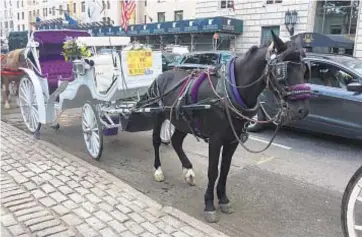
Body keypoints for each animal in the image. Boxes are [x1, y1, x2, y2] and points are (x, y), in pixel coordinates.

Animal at [140, 31, 310, 222]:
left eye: (304, 70)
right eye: (282, 71)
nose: (302, 110)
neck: (228, 92)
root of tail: (162, 75)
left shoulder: (232, 140)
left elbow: (225, 170)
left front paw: (223, 199)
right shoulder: (216, 140)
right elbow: (213, 171)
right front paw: (209, 204)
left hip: (182, 121)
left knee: (176, 141)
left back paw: (188, 170)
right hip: (158, 115)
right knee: (156, 140)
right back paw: (158, 170)